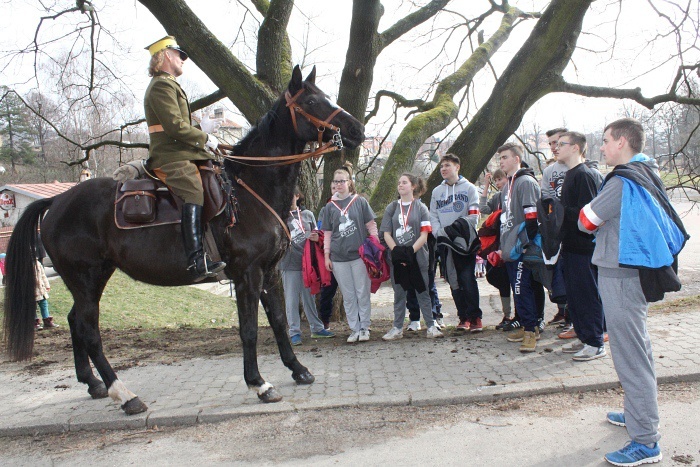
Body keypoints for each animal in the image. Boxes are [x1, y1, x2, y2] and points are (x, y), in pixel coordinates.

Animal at [4, 66, 366, 416]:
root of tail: (57, 201)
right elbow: (249, 329)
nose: (357, 130)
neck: (250, 190)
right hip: (86, 278)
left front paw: (298, 369)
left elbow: (278, 321)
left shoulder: (269, 273)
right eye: (312, 102)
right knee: (89, 330)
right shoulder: (247, 274)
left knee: (75, 322)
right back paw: (125, 395)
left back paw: (94, 384)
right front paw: (259, 384)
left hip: (91, 279)